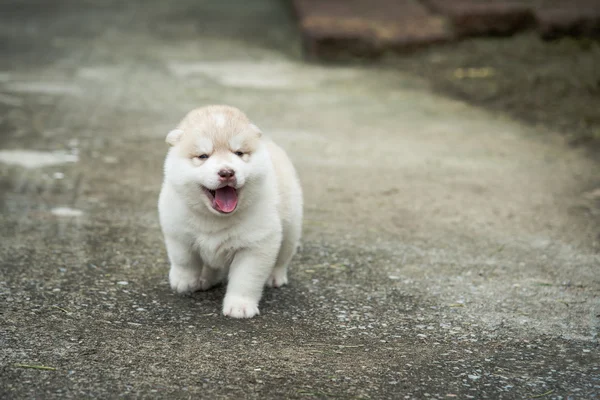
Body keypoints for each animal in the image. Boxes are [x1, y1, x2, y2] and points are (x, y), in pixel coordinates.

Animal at [158, 104, 302, 318]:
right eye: (203, 156)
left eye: (239, 153)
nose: (227, 172)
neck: (214, 218)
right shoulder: (177, 231)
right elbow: (184, 259)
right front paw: (184, 281)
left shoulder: (256, 245)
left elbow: (245, 279)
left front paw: (239, 306)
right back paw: (205, 278)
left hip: (291, 227)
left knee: (283, 257)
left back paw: (275, 277)